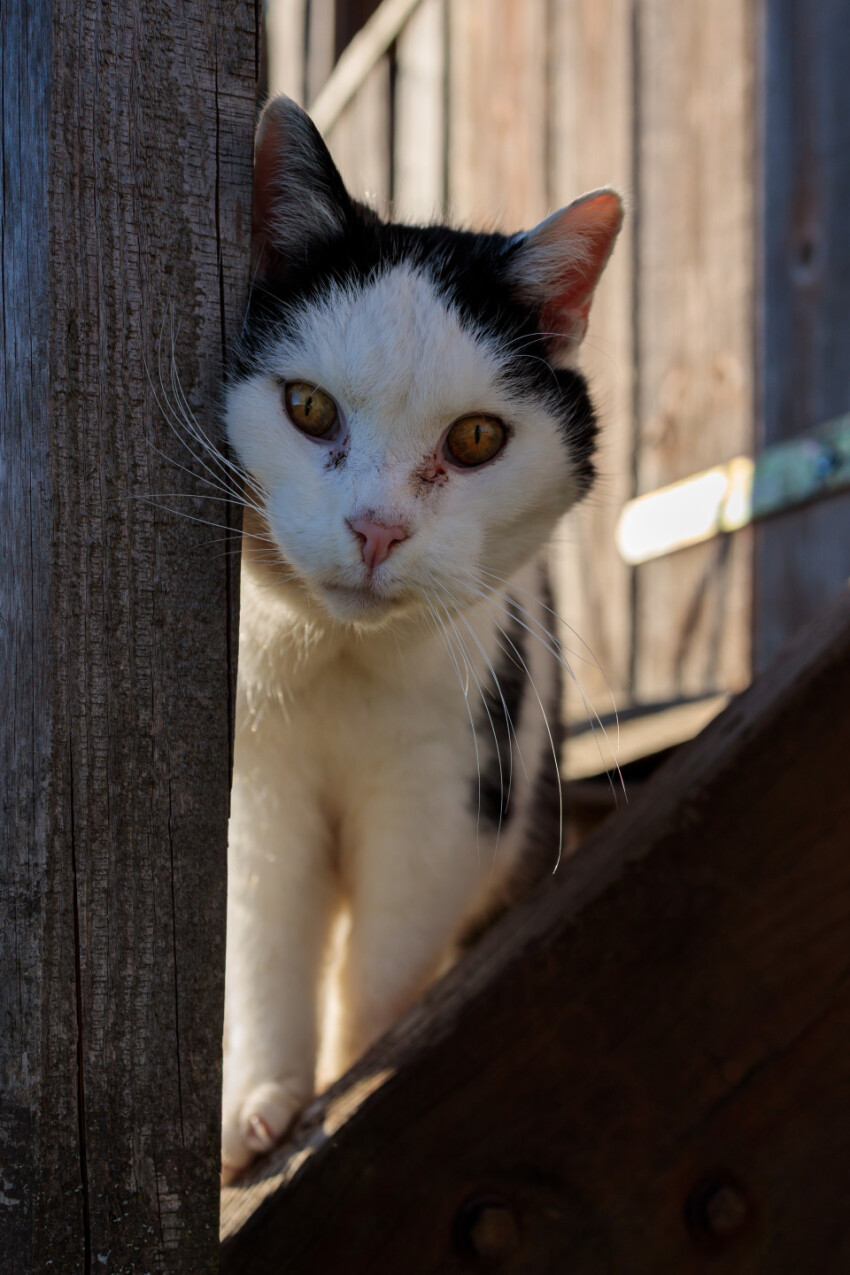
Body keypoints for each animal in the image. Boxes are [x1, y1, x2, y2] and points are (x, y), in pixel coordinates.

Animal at [219, 96, 621, 1173]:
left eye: (476, 439)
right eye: (307, 408)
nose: (376, 528)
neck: (333, 662)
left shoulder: (452, 792)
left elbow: (385, 962)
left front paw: (355, 1078)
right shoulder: (253, 788)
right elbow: (261, 943)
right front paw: (256, 1103)